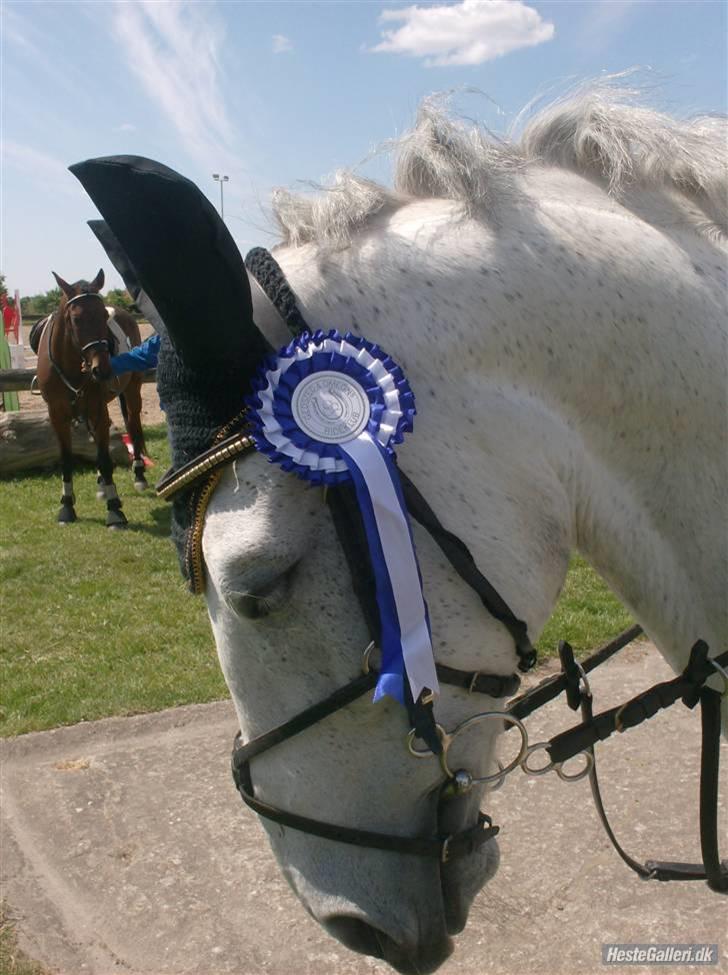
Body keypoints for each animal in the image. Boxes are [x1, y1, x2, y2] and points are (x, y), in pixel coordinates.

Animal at [34, 268, 149, 528]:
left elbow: (105, 457)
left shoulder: (97, 409)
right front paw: (66, 506)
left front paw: (114, 510)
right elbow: (67, 458)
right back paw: (101, 485)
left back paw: (138, 475)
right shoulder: (57, 414)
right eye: (76, 319)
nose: (102, 369)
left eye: (103, 316)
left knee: (133, 426)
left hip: (132, 392)